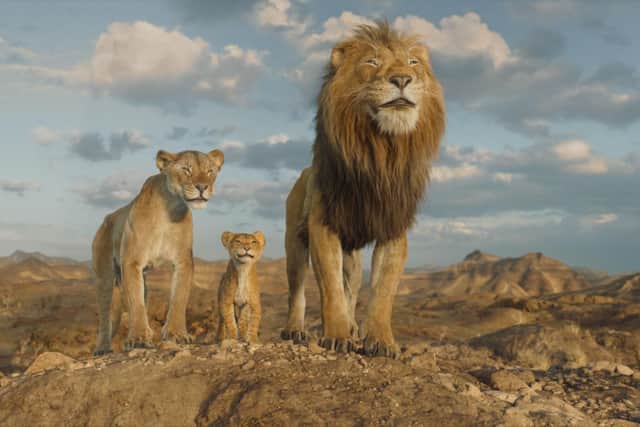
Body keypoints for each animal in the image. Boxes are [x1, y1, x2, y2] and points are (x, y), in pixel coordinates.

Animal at [92, 149, 224, 354]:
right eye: (186, 169)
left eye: (210, 171)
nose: (202, 187)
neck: (169, 209)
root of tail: (108, 218)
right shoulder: (131, 261)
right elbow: (136, 303)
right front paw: (138, 338)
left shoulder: (183, 261)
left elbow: (178, 298)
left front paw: (177, 334)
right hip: (104, 276)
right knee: (106, 313)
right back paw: (103, 348)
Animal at [281, 22, 446, 357]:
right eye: (372, 62)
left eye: (413, 63)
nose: (402, 79)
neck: (381, 152)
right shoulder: (322, 224)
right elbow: (330, 288)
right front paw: (337, 335)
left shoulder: (393, 227)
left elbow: (383, 291)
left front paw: (380, 341)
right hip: (294, 242)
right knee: (298, 289)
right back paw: (295, 330)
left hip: (352, 257)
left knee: (352, 288)